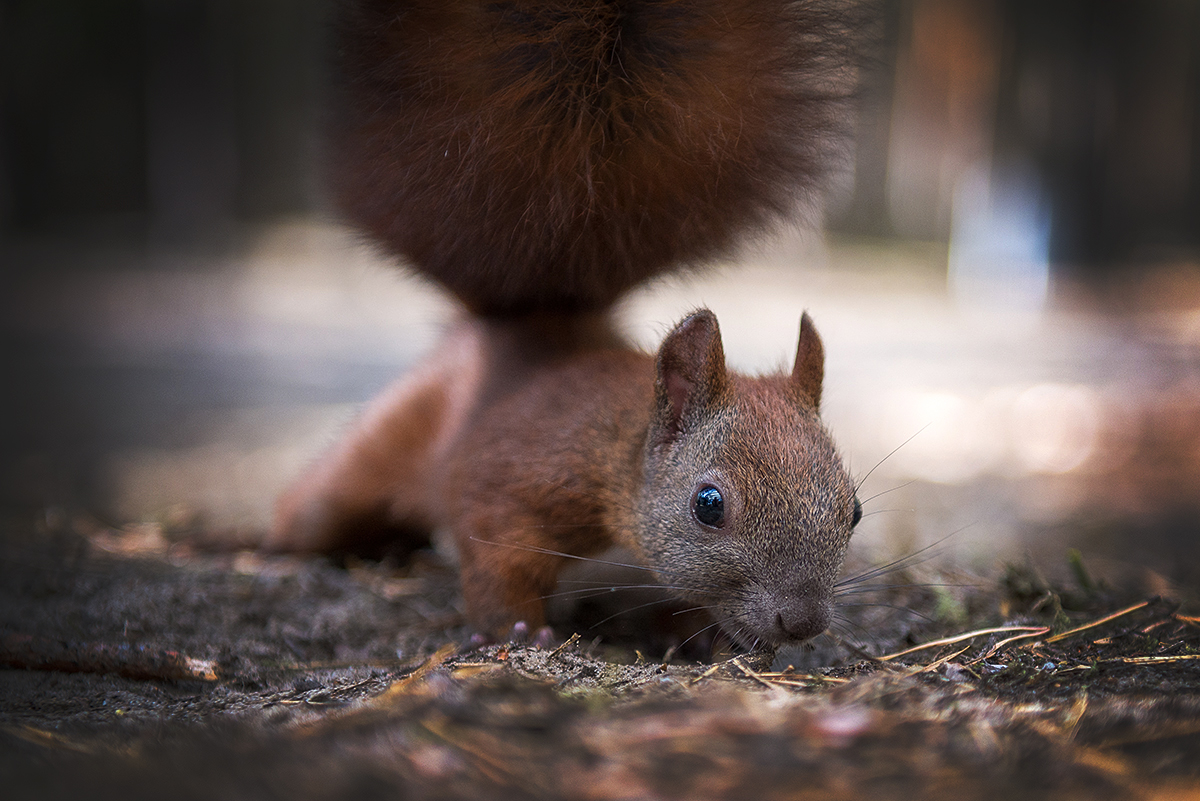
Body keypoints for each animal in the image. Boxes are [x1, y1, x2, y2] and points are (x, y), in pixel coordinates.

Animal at [265, 0, 864, 652]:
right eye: (708, 505)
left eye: (855, 510)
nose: (802, 623)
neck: (620, 451)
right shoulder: (511, 476)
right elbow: (496, 558)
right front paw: (521, 631)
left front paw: (702, 637)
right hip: (380, 442)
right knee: (316, 505)